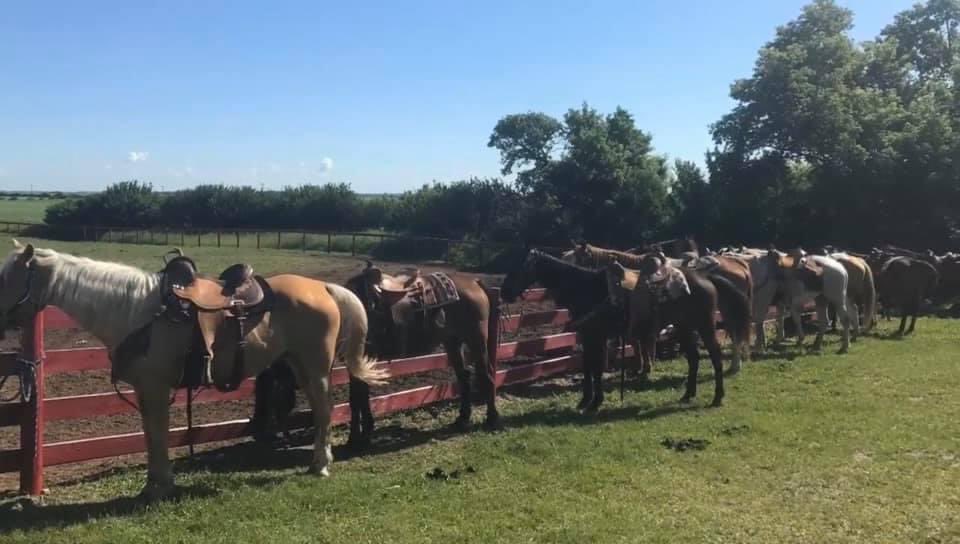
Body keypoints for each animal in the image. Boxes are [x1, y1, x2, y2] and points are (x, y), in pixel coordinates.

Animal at [0, 241, 385, 501]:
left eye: (10, 278)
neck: (137, 312)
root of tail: (324, 287)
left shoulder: (156, 387)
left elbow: (158, 434)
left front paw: (161, 485)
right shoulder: (145, 388)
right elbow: (150, 434)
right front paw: (153, 484)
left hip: (315, 365)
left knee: (324, 410)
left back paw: (320, 464)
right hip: (298, 363)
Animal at [500, 249, 620, 414]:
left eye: (521, 266)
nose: (504, 291)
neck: (587, 288)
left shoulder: (595, 336)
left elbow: (596, 367)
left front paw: (595, 402)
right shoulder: (588, 336)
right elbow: (588, 365)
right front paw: (586, 400)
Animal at [605, 254, 751, 407]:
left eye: (614, 283)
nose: (615, 301)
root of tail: (707, 278)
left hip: (705, 326)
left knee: (716, 354)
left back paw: (718, 396)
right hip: (685, 328)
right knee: (694, 357)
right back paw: (688, 394)